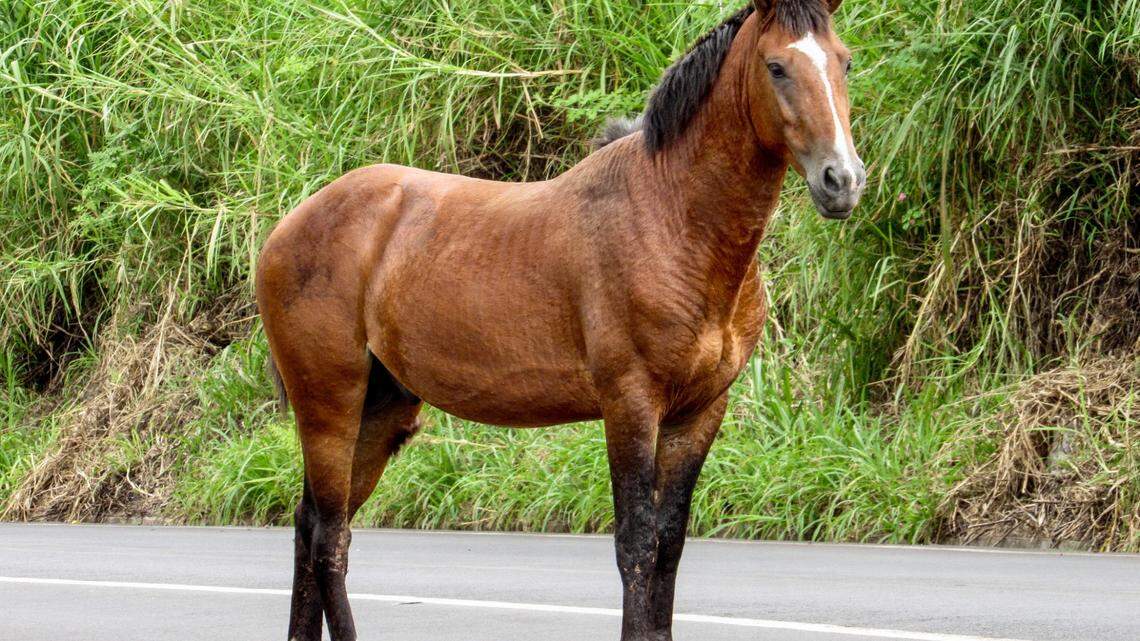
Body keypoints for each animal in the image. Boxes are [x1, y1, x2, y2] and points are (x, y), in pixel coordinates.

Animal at [256, 0, 865, 639]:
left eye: (844, 62)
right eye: (776, 66)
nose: (842, 180)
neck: (673, 216)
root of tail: (288, 226)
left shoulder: (699, 413)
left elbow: (669, 547)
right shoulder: (630, 405)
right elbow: (637, 545)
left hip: (381, 410)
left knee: (310, 525)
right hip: (330, 408)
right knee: (329, 537)